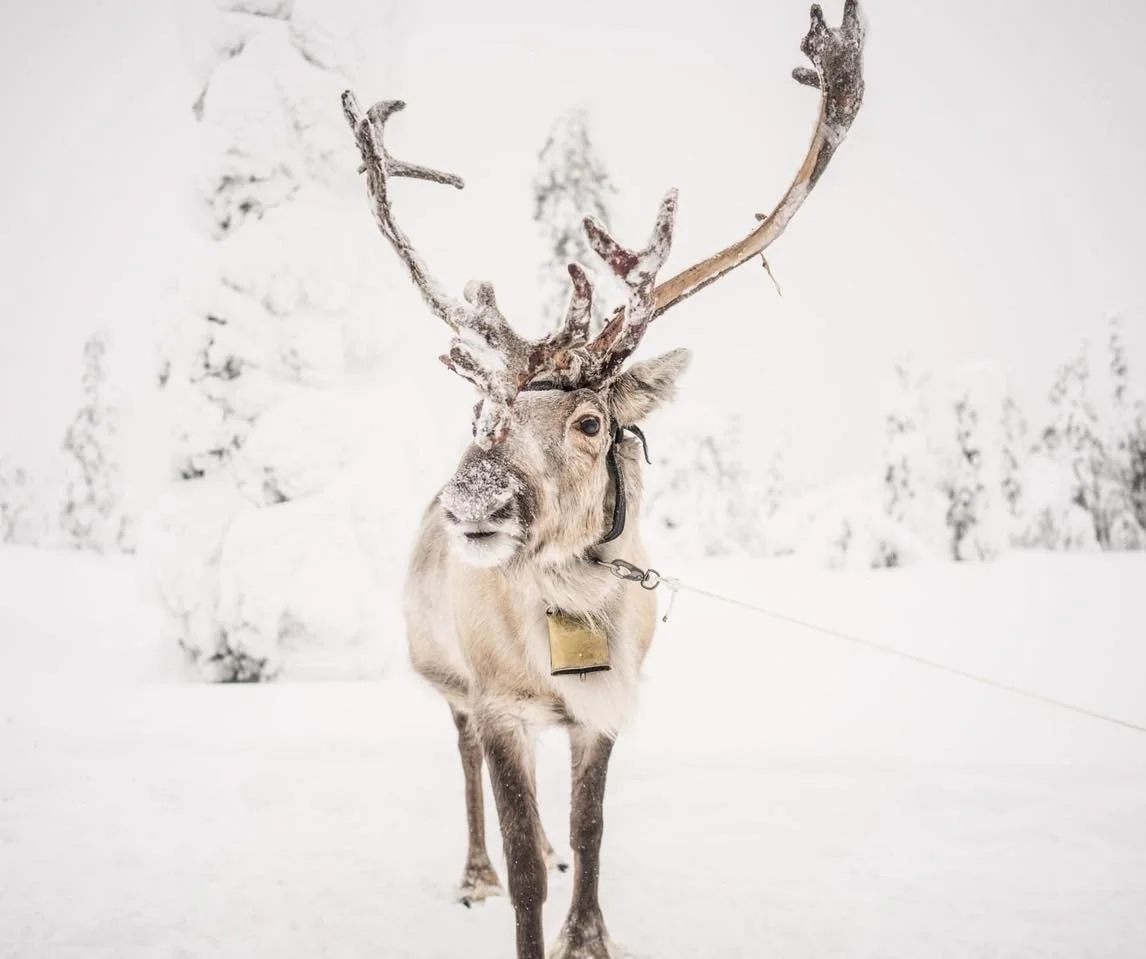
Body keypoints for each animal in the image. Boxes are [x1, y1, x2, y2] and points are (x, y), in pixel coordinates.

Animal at [341, 4, 865, 957]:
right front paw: (525, 900)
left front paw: (589, 931)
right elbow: (520, 862)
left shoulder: (602, 707)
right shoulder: (499, 702)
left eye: (590, 421)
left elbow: (590, 826)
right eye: (484, 415)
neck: (569, 602)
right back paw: (470, 872)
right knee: (464, 765)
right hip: (446, 680)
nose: (471, 501)